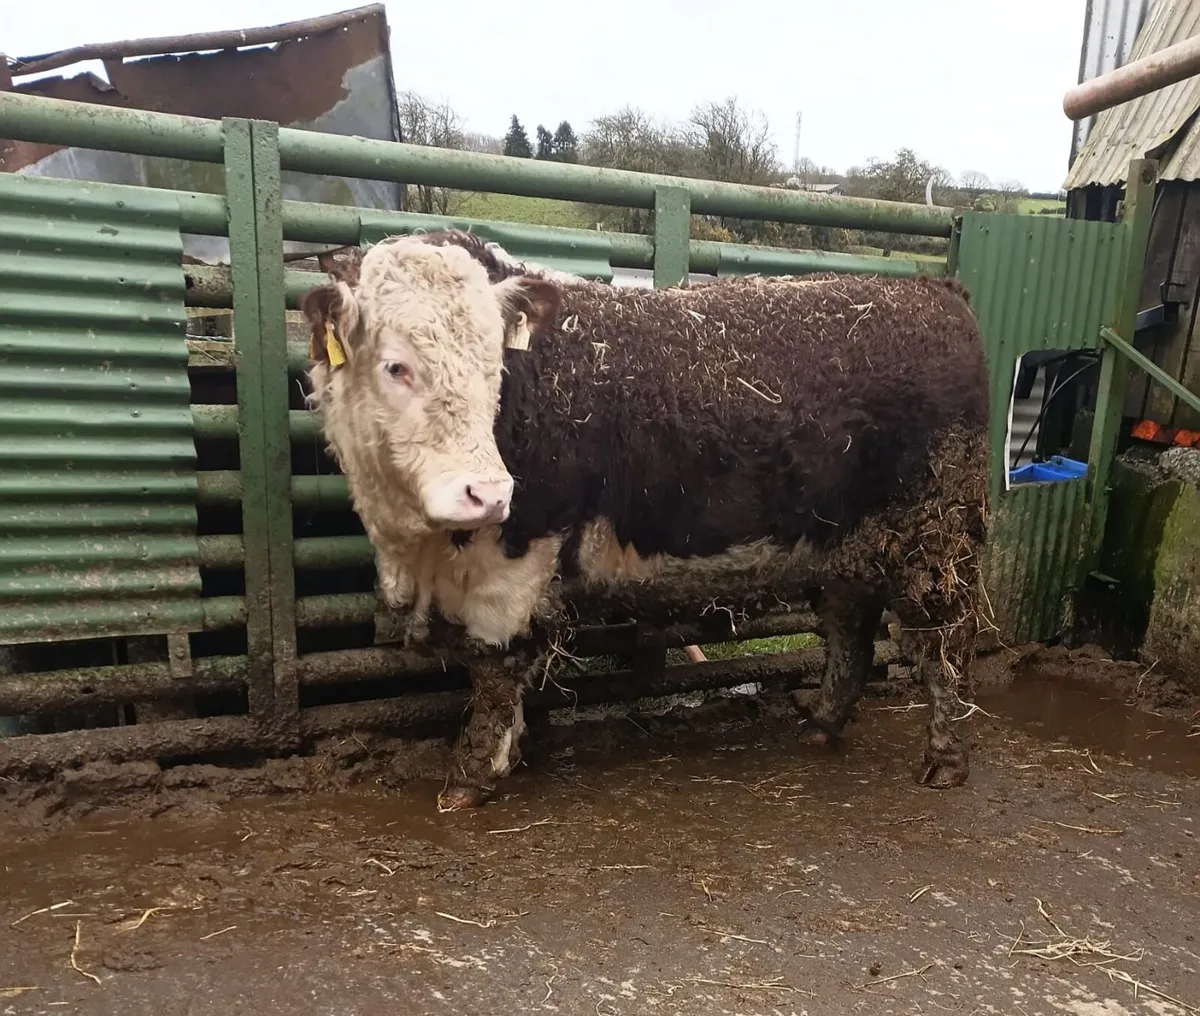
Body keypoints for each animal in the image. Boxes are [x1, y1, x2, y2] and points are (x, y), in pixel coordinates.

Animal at [301, 230, 991, 812]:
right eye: (396, 365)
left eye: (494, 367)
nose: (489, 493)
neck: (415, 550)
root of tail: (934, 292)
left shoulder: (514, 557)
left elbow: (494, 667)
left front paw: (474, 774)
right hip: (844, 544)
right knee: (851, 632)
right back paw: (822, 722)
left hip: (937, 536)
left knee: (945, 641)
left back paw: (946, 757)